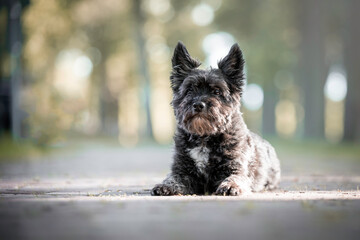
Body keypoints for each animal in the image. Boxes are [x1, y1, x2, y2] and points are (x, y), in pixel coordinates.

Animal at [150, 42, 280, 196]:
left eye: (217, 91)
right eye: (190, 89)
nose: (198, 105)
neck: (205, 137)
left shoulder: (235, 166)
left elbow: (236, 177)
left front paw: (230, 186)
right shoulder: (183, 170)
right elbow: (173, 177)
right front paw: (166, 186)